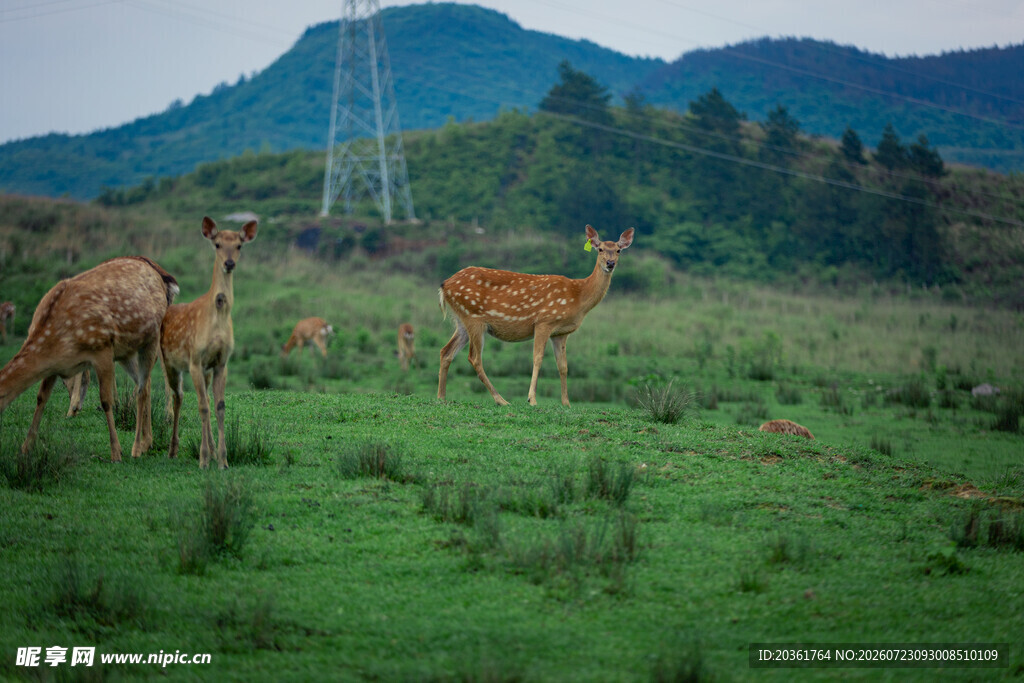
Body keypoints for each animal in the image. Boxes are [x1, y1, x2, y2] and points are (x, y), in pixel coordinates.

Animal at [0, 257, 178, 461]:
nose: (75, 406)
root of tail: (164, 278)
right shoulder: (54, 366)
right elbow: (41, 397)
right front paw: (25, 448)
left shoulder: (102, 349)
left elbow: (104, 398)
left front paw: (116, 451)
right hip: (130, 348)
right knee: (145, 382)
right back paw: (147, 441)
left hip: (152, 336)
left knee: (151, 376)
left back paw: (141, 443)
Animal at [160, 217, 257, 469]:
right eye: (217, 244)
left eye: (239, 245)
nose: (229, 263)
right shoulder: (195, 359)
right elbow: (203, 407)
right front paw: (203, 460)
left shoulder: (221, 362)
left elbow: (219, 407)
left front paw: (223, 460)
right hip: (169, 362)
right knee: (178, 396)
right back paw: (172, 450)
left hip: (204, 370)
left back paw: (212, 452)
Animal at [438, 224, 634, 407]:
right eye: (600, 249)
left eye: (618, 250)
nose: (610, 263)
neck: (578, 296)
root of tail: (444, 285)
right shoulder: (544, 321)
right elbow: (537, 358)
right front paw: (531, 399)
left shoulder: (561, 333)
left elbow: (563, 366)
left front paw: (566, 403)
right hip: (474, 317)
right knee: (474, 358)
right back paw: (501, 400)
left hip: (462, 320)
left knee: (446, 351)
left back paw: (441, 397)